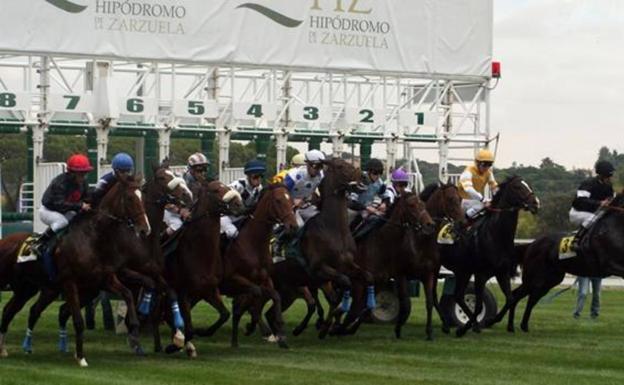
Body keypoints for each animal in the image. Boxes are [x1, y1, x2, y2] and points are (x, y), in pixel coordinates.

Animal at [342, 192, 438, 336]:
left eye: (423, 204)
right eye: (411, 205)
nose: (429, 225)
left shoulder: (380, 281)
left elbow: (365, 308)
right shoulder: (361, 281)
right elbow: (354, 310)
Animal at [500, 194, 624, 332]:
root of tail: (532, 244)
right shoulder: (610, 264)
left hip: (549, 280)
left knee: (531, 298)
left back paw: (522, 326)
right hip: (533, 278)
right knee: (517, 295)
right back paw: (506, 324)